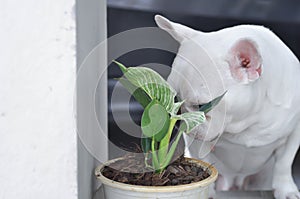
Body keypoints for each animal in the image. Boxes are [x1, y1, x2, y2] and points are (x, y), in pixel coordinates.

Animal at [155, 14, 300, 198]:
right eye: (175, 99)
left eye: (202, 105)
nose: (178, 120)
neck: (249, 119)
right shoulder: (199, 142)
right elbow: (204, 160)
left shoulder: (294, 133)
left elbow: (284, 164)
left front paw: (286, 190)